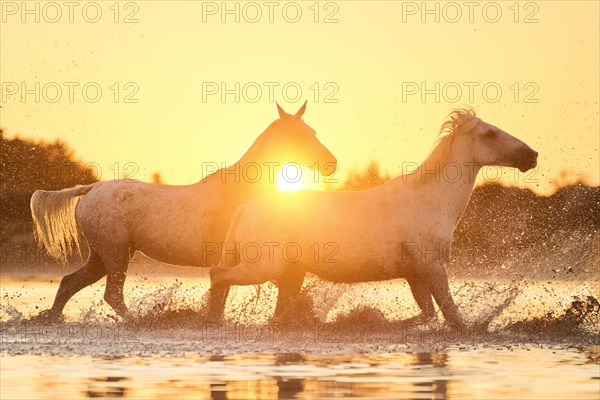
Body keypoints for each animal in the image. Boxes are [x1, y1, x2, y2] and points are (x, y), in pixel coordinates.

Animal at [31, 104, 338, 322]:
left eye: (313, 132)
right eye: (298, 135)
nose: (331, 163)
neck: (241, 192)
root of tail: (92, 189)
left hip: (102, 255)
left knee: (69, 283)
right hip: (114, 253)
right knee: (112, 295)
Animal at [209, 108, 536, 330]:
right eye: (490, 133)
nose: (531, 155)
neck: (430, 199)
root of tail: (244, 209)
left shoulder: (415, 272)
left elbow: (427, 313)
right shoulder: (431, 266)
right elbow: (451, 315)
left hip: (291, 273)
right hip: (264, 266)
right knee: (218, 275)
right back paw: (211, 319)